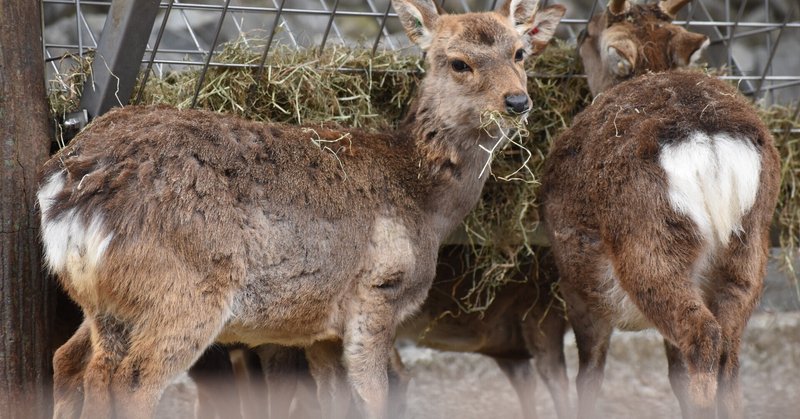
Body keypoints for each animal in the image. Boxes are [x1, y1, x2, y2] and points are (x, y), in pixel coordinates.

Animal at [36, 0, 564, 419]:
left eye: (520, 53)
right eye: (458, 63)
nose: (517, 101)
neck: (425, 203)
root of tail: (70, 187)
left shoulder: (319, 331)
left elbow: (330, 402)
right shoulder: (377, 293)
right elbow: (375, 398)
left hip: (103, 300)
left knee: (73, 362)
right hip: (182, 291)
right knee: (132, 382)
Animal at [536, 0, 780, 419]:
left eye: (589, 33)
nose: (579, 35)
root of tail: (710, 141)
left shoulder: (576, 285)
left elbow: (589, 375)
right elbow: (674, 374)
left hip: (648, 242)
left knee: (703, 336)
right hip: (749, 247)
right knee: (729, 355)